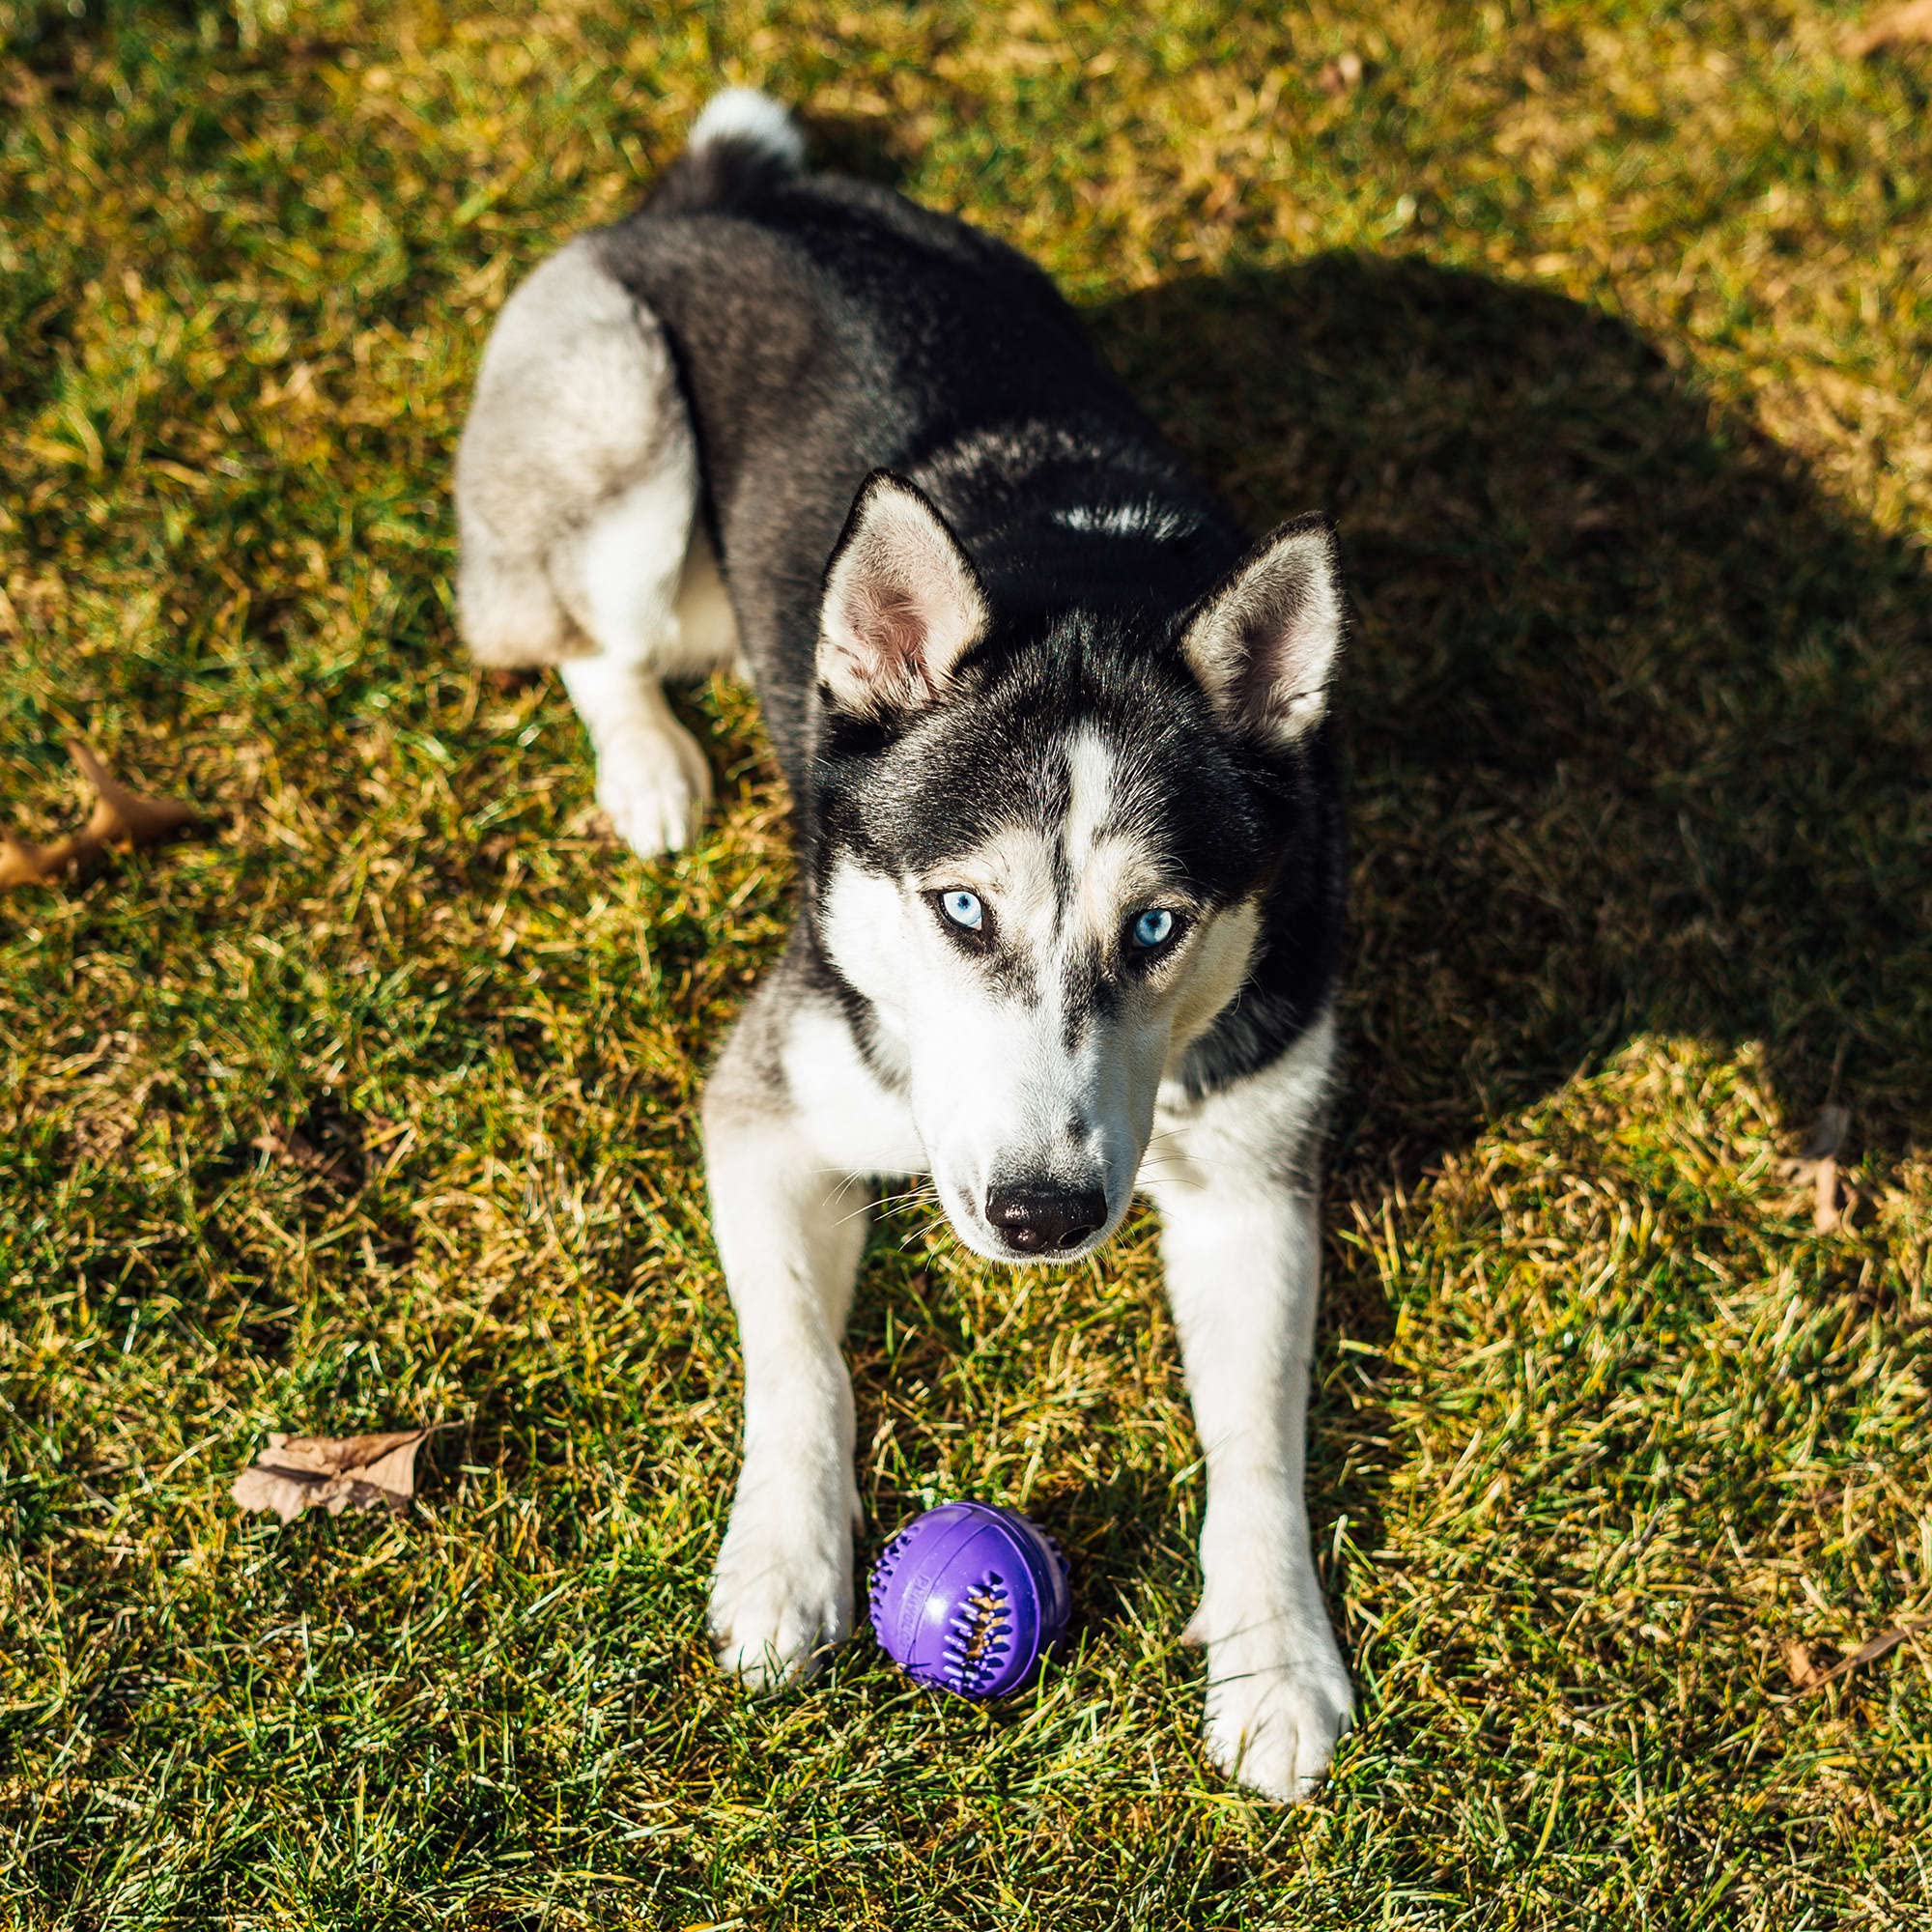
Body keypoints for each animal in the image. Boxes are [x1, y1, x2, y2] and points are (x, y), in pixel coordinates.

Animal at [458, 91, 1352, 1801]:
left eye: (1159, 925)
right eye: (961, 910)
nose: (1039, 1217)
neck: (1089, 582)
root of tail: (722, 192)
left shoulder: (1254, 1178)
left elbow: (1257, 1444)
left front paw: (1275, 1657)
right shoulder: (770, 1099)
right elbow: (800, 1361)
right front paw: (783, 1565)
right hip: (620, 446)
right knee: (593, 637)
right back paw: (649, 769)